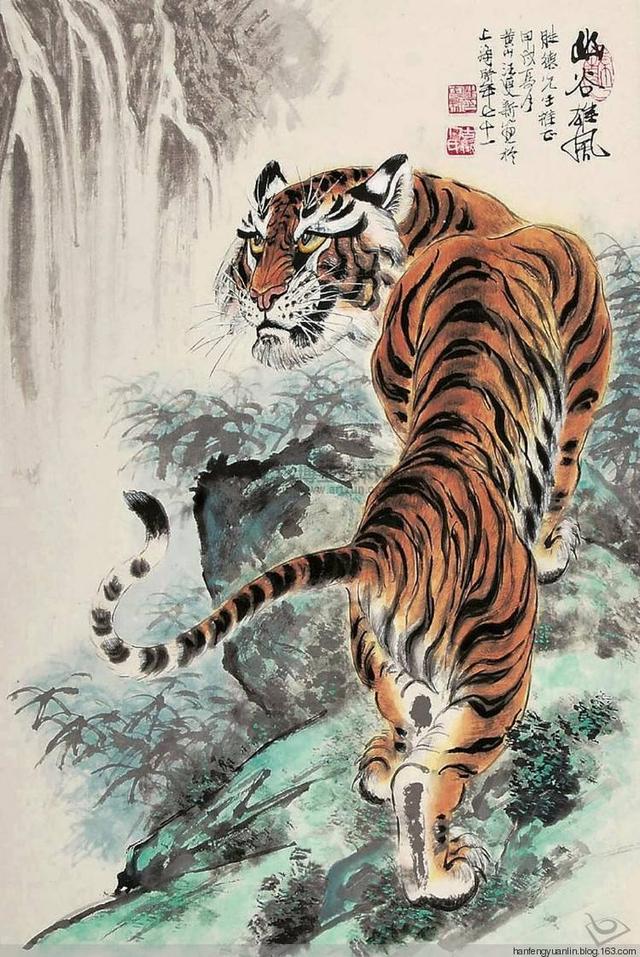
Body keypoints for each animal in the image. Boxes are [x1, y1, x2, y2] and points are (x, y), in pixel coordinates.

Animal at [91, 155, 611, 909]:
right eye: (255, 243)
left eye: (309, 241)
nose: (260, 300)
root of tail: (382, 545)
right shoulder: (587, 367)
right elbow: (565, 466)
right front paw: (549, 549)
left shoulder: (395, 376)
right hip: (499, 663)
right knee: (430, 772)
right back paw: (441, 875)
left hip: (375, 642)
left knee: (407, 712)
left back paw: (382, 765)